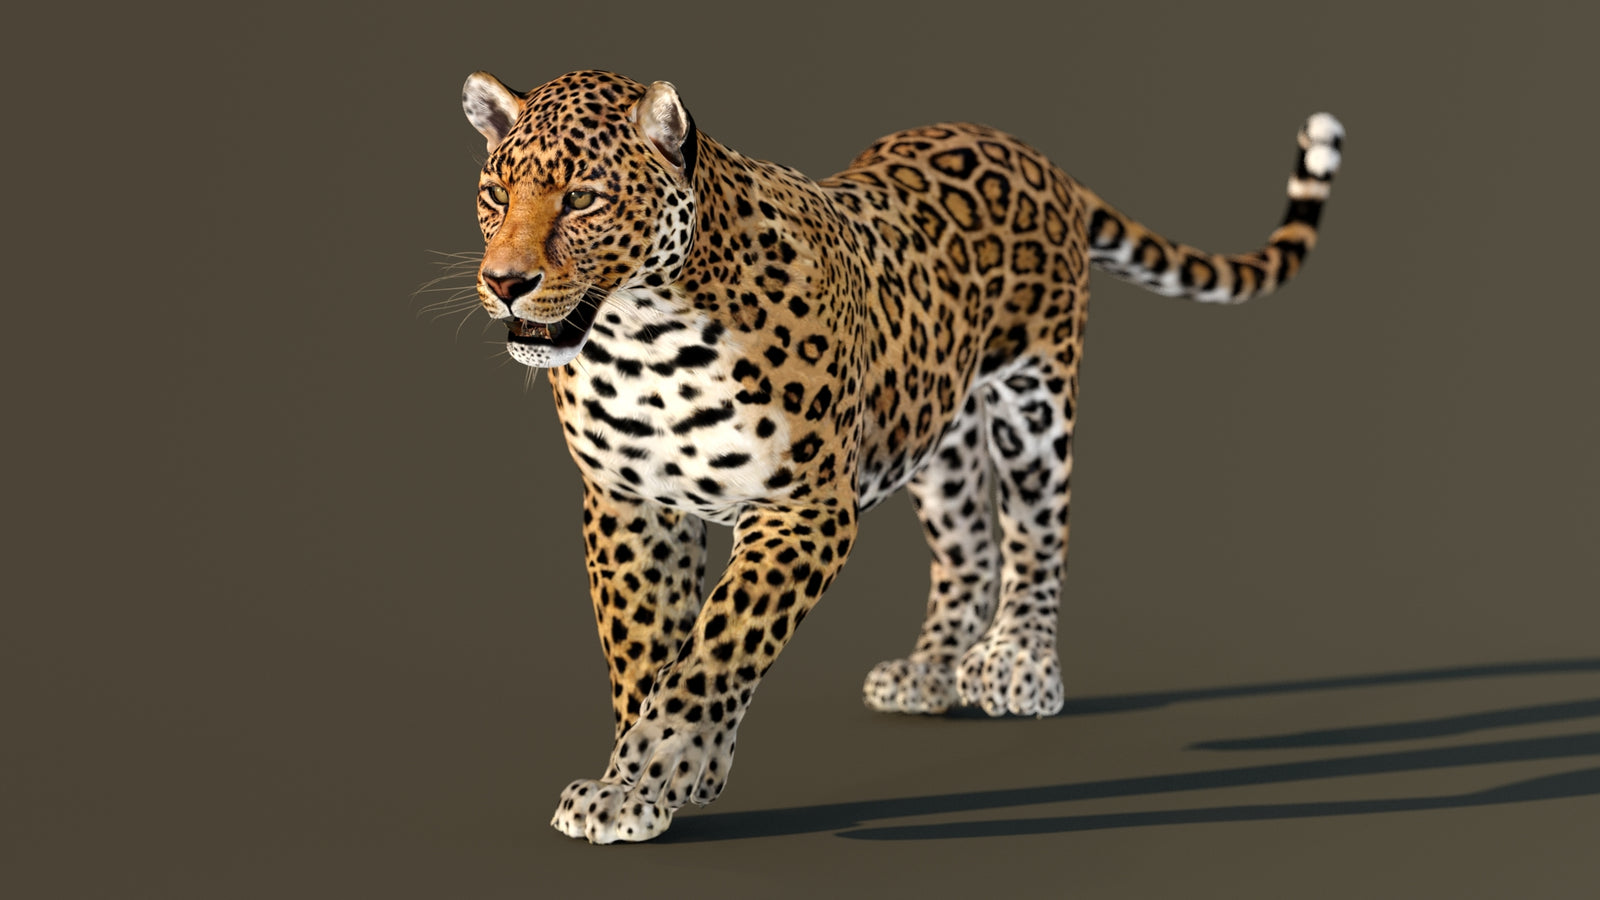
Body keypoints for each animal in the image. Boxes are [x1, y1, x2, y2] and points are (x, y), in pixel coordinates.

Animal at [454, 68, 1342, 844]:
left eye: (583, 197)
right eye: (497, 194)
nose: (504, 282)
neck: (642, 340)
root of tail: (1024, 147)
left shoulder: (803, 508)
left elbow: (717, 645)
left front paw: (654, 772)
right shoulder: (630, 505)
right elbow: (644, 651)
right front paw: (644, 786)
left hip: (1034, 399)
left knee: (1036, 535)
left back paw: (1019, 664)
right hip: (934, 431)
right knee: (970, 552)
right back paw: (930, 672)